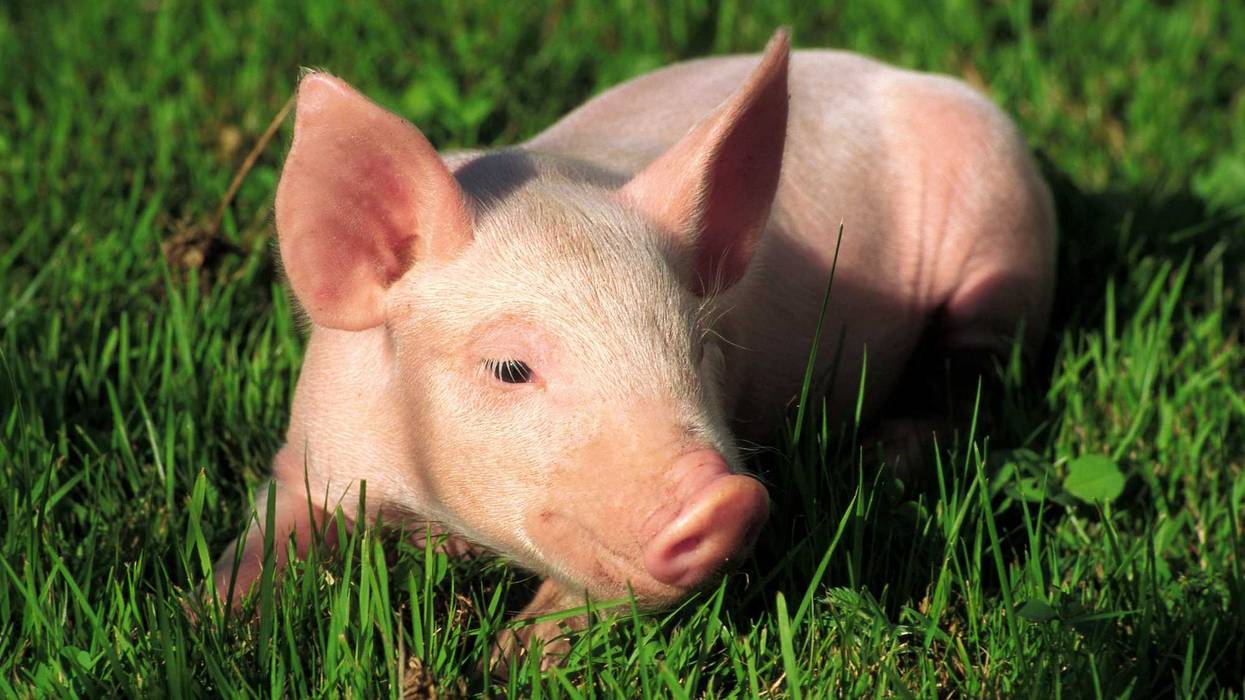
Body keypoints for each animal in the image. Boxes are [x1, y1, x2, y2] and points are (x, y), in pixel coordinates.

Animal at [212, 30, 1055, 660]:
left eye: (696, 348)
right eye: (509, 368)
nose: (727, 499)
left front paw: (508, 660)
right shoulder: (312, 446)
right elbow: (262, 541)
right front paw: (206, 620)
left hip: (1004, 245)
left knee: (970, 378)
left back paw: (883, 458)